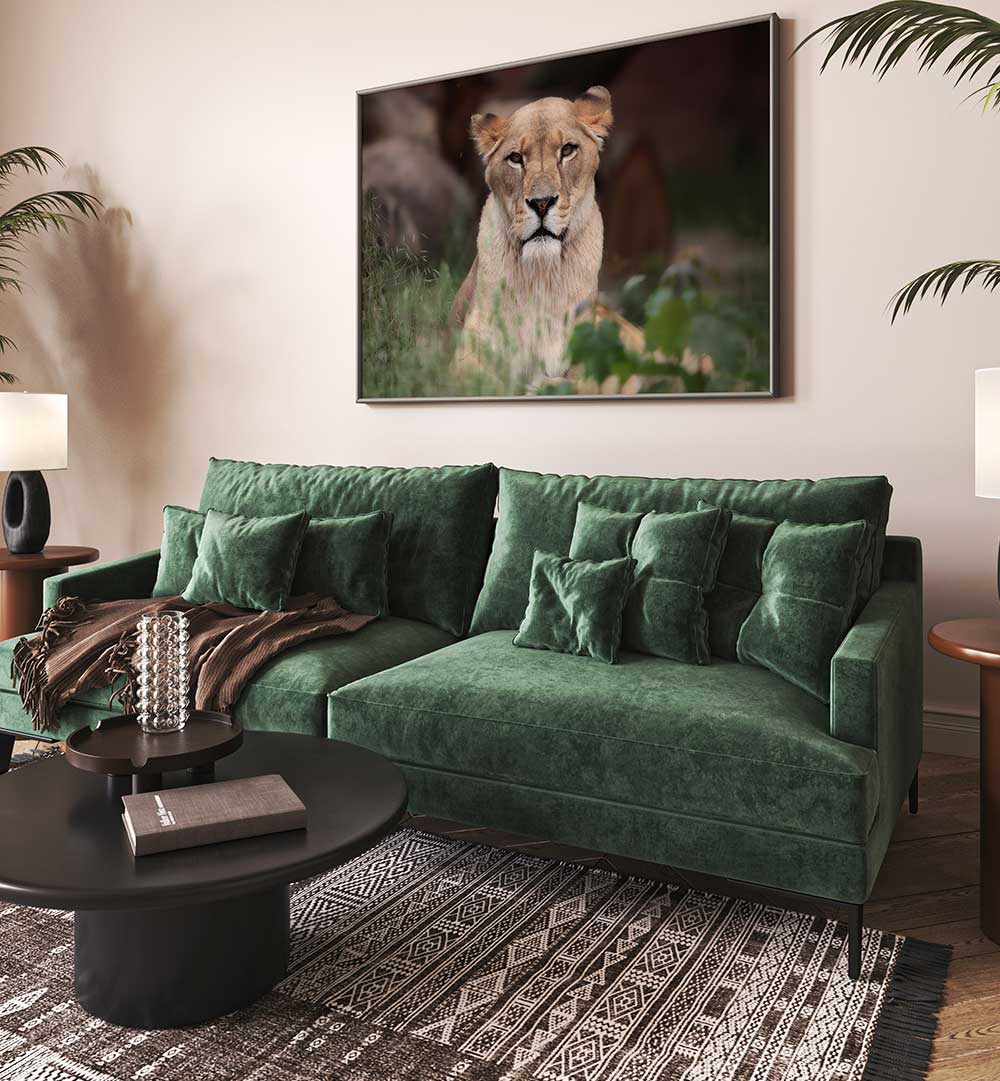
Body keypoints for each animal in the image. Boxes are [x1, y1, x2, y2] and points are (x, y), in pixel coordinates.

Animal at [450, 87, 613, 393]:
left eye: (567, 150)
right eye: (515, 158)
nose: (541, 202)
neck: (541, 276)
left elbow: (580, 383)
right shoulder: (473, 346)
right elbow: (482, 382)